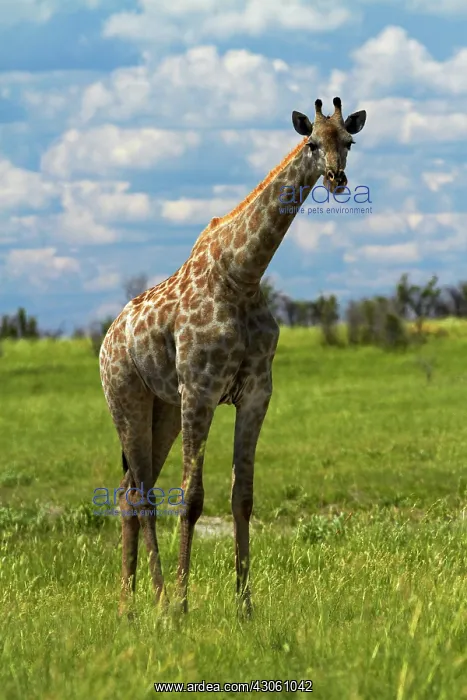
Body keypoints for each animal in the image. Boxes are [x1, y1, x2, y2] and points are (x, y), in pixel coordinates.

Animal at [99, 97, 367, 616]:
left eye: (348, 141)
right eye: (311, 142)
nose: (337, 179)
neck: (241, 276)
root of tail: (107, 339)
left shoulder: (257, 392)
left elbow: (242, 495)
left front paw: (245, 607)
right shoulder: (200, 390)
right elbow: (191, 497)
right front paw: (184, 607)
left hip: (163, 410)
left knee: (127, 492)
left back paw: (127, 606)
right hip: (127, 399)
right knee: (142, 494)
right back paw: (159, 602)